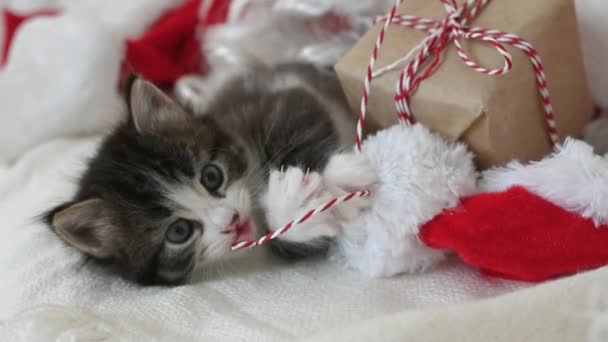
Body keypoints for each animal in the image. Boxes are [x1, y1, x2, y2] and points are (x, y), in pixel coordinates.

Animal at [44, 63, 376, 286]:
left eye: (211, 177)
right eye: (178, 231)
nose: (233, 220)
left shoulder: (287, 100)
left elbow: (300, 133)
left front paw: (339, 178)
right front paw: (295, 206)